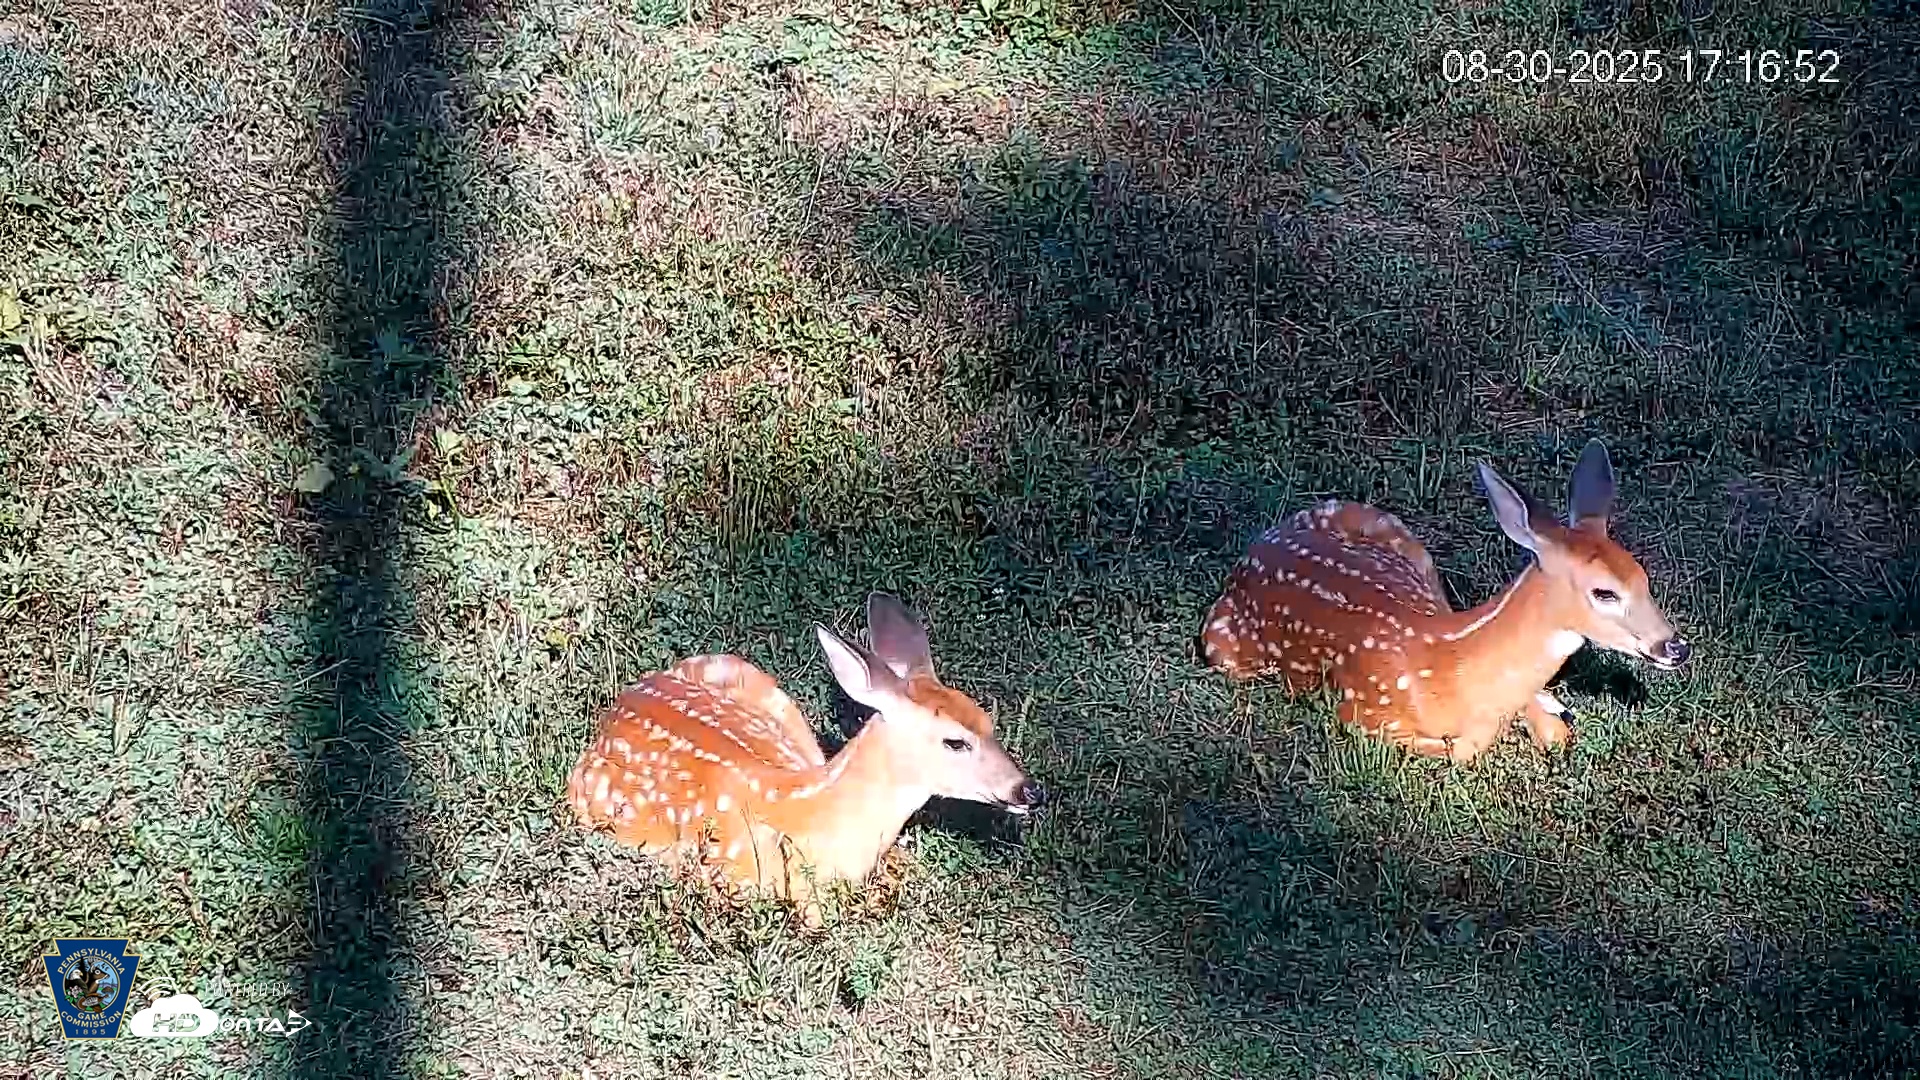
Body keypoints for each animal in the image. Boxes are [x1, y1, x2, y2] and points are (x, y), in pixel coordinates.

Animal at [1200, 440, 1691, 762]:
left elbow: (1553, 735)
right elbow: (1457, 750)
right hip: (1222, 647)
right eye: (1604, 592)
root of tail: (1259, 545)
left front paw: (1552, 714)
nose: (1675, 646)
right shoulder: (1363, 714)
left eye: (1644, 578)